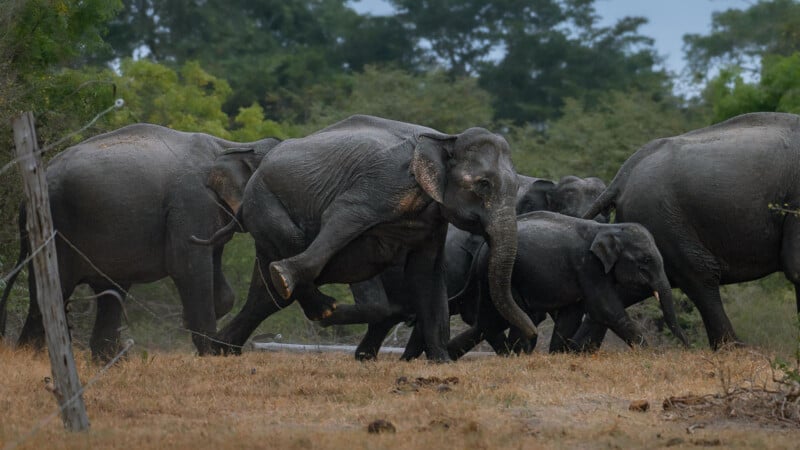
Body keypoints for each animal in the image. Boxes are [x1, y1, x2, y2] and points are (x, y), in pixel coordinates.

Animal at [0, 123, 279, 360]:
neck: (230, 145)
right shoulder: (191, 204)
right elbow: (188, 268)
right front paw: (210, 354)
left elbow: (218, 277)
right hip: (56, 226)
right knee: (53, 290)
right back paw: (32, 356)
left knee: (109, 294)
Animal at [198, 114, 536, 361]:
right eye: (483, 185)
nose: (532, 334)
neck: (445, 138)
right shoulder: (384, 181)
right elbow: (343, 217)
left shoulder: (434, 220)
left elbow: (426, 273)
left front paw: (441, 362)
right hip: (265, 199)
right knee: (290, 252)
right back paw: (314, 302)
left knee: (265, 298)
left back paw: (220, 349)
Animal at [439, 211, 689, 360]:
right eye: (645, 261)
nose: (686, 346)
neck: (608, 229)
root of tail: (482, 249)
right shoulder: (588, 266)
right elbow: (604, 309)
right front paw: (649, 353)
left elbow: (572, 313)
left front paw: (558, 355)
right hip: (506, 279)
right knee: (510, 317)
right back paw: (517, 354)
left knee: (490, 321)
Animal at [581, 112, 800, 350]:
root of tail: (622, 176)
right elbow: (796, 267)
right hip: (664, 220)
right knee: (702, 276)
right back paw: (737, 350)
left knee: (629, 289)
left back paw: (578, 349)